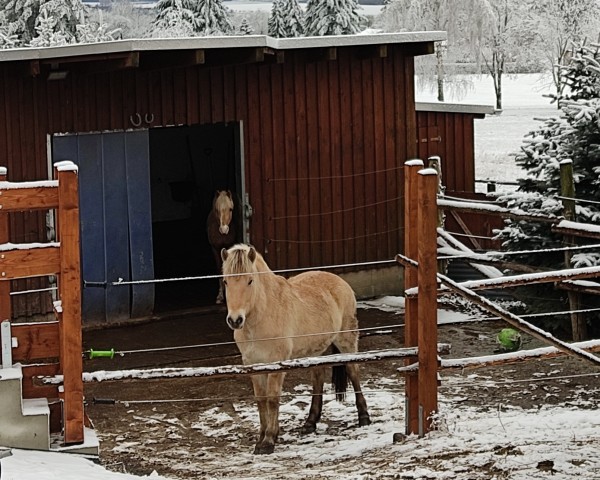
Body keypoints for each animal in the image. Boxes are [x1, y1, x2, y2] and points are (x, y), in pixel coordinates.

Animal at [220, 244, 370, 454]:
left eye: (250, 281)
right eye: (225, 281)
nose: (235, 320)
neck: (265, 314)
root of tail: (341, 282)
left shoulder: (276, 364)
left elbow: (272, 399)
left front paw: (269, 440)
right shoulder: (252, 364)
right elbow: (261, 400)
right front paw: (261, 438)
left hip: (346, 341)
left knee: (353, 372)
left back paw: (364, 417)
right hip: (316, 351)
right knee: (318, 378)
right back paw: (310, 422)